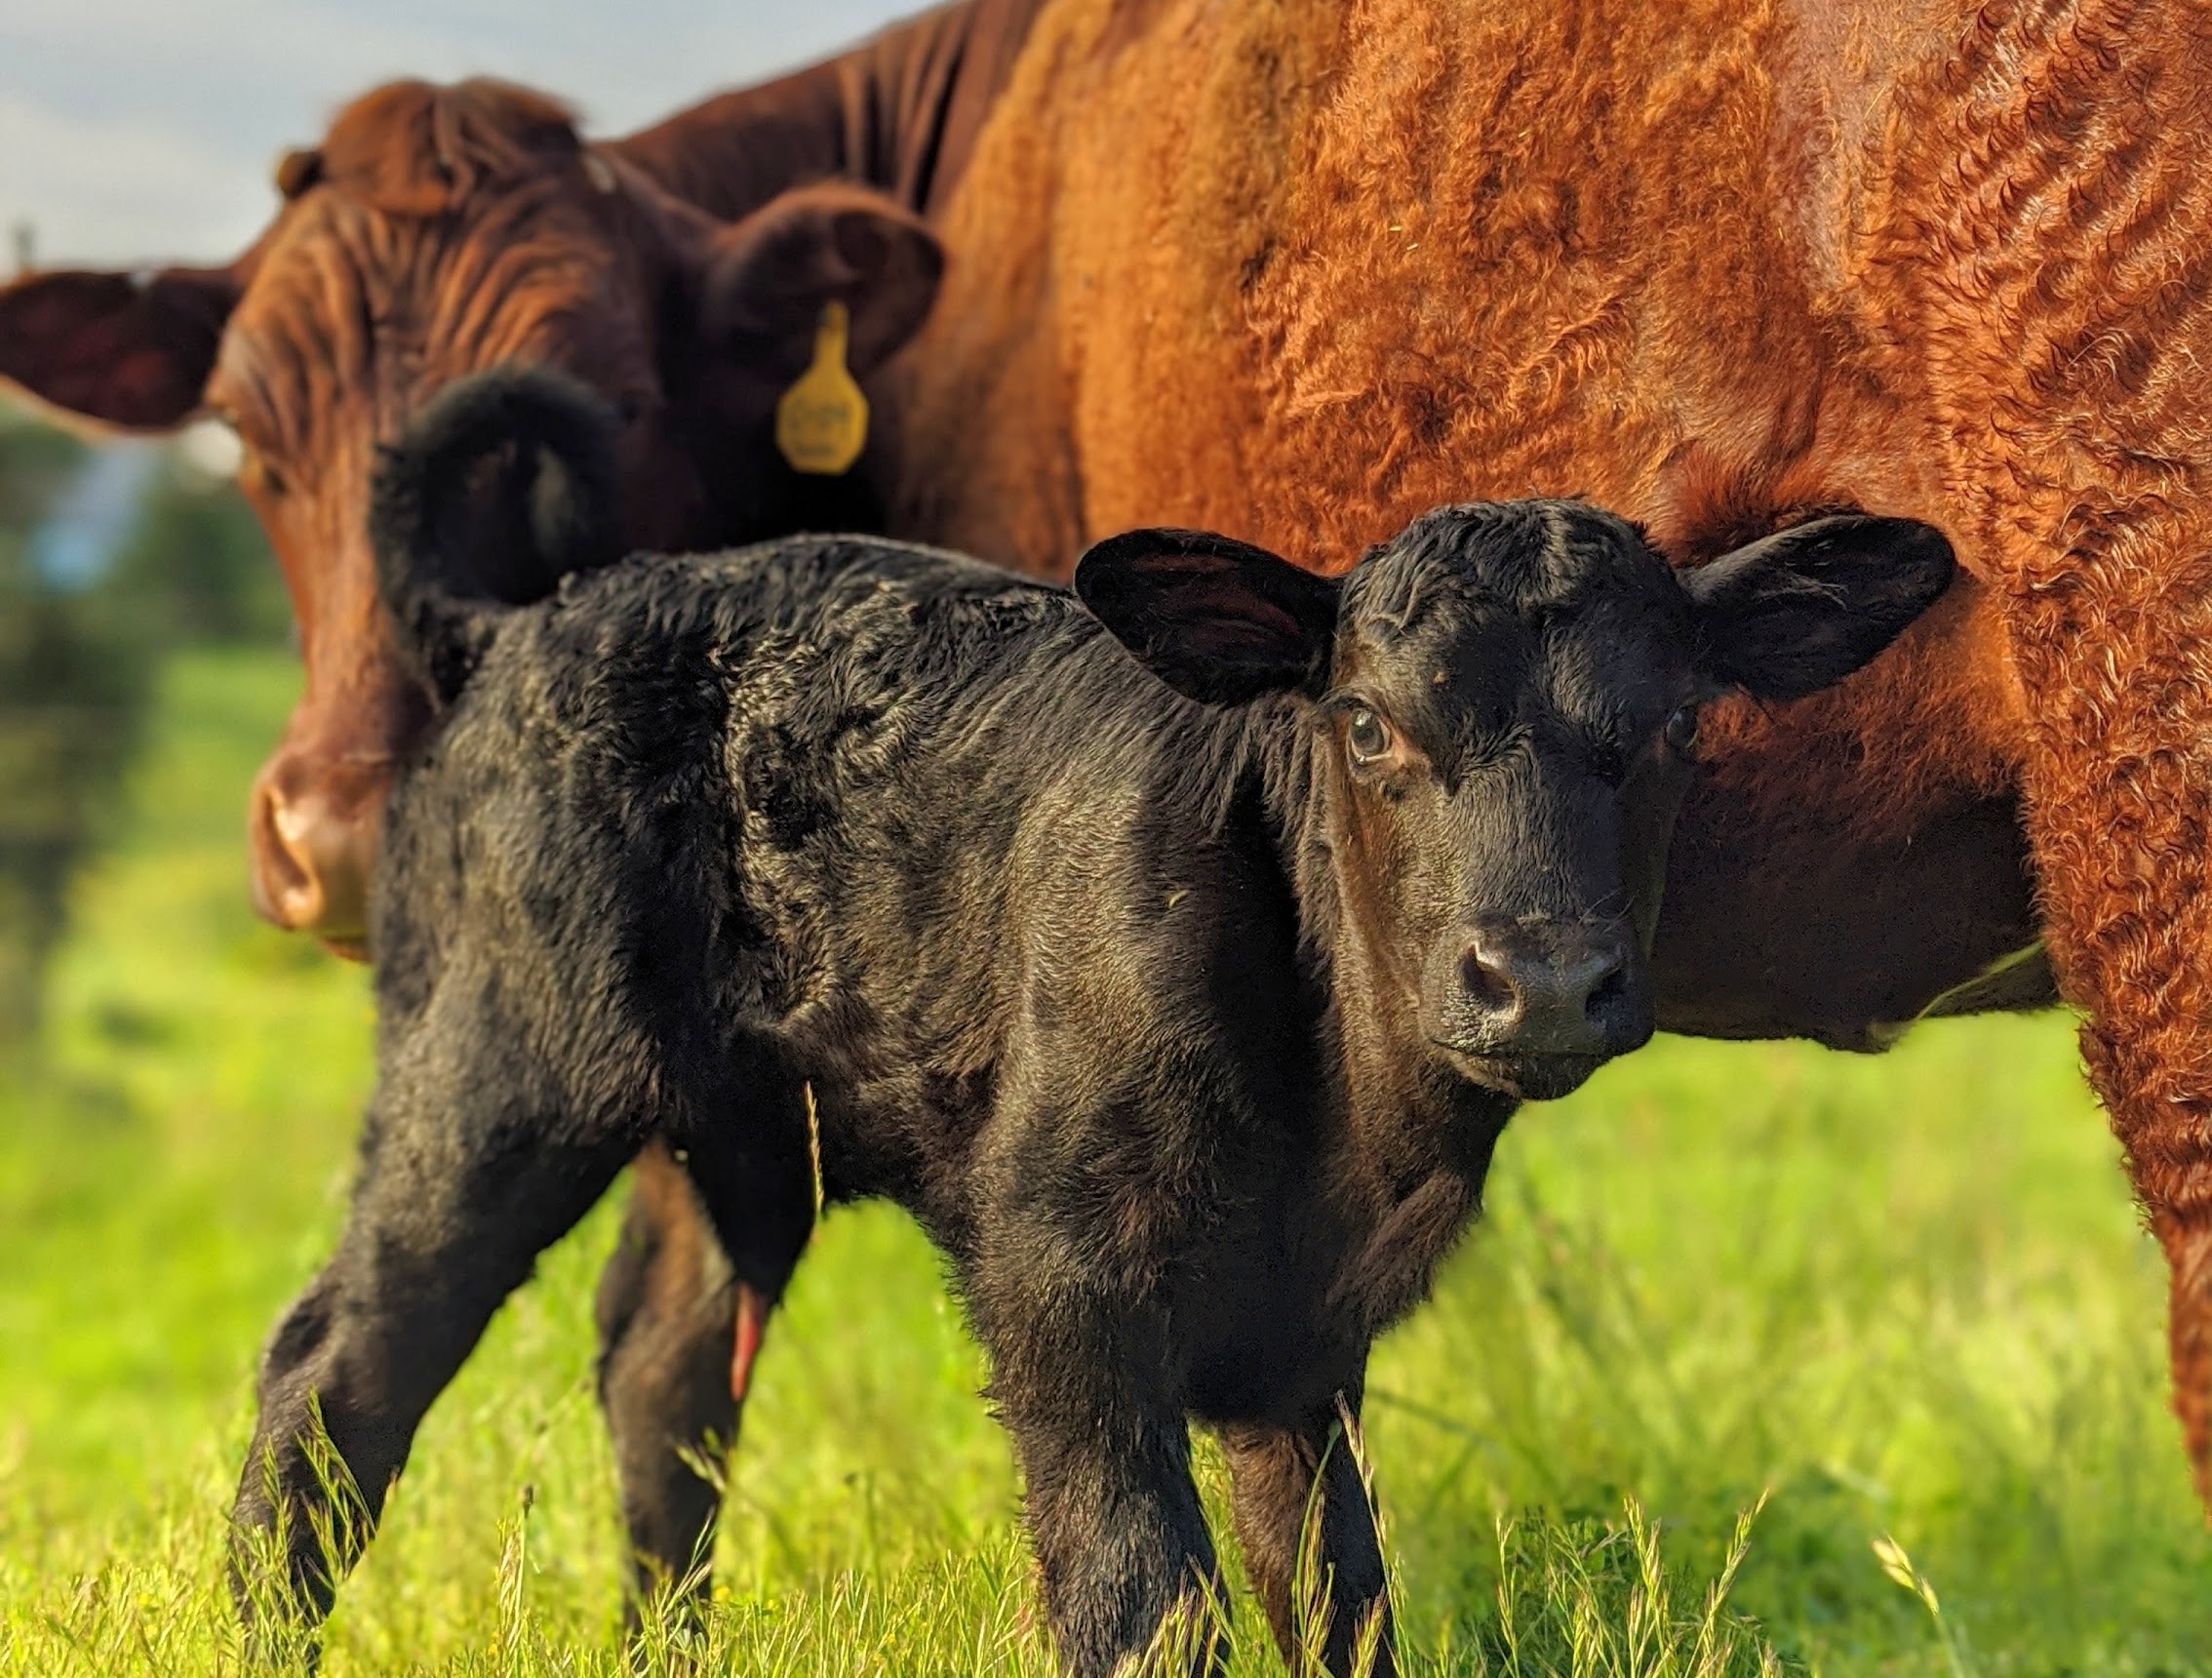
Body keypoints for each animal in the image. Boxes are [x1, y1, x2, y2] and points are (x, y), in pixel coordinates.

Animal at [227, 367, 1956, 1675]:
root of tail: (548, 611)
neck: (1347, 1127)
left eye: (1672, 729)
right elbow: (1149, 1605)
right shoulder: (1057, 1265)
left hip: (736, 1135)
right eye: (1366, 725)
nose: (1538, 978)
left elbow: (1337, 1595)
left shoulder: (1305, 1339)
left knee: (665, 1374)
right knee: (337, 1377)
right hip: (492, 1061)